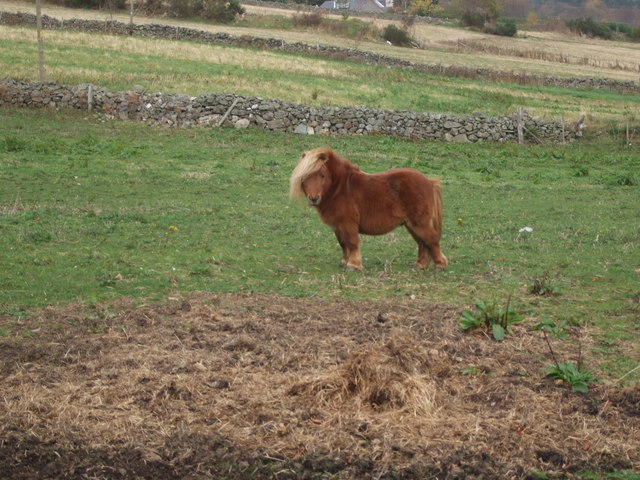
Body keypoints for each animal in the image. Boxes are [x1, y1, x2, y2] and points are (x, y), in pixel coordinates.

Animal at [292, 147, 448, 270]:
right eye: (304, 177)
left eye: (322, 175)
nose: (314, 198)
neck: (340, 189)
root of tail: (429, 182)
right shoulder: (337, 227)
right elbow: (343, 244)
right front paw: (345, 262)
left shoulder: (348, 224)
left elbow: (352, 242)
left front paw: (353, 265)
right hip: (410, 224)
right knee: (422, 243)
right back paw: (420, 265)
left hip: (419, 222)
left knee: (431, 239)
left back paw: (440, 265)